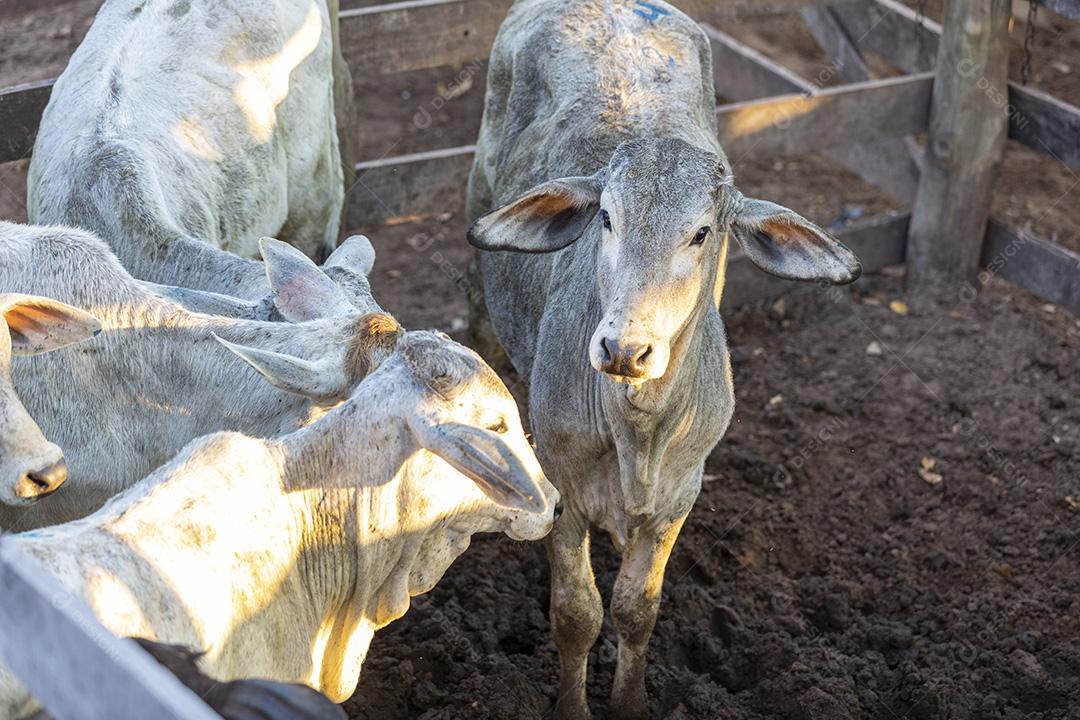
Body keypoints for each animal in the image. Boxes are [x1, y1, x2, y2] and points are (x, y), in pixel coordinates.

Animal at [465, 1, 862, 717]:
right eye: (606, 219)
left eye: (702, 233)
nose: (624, 348)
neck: (637, 431)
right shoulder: (563, 488)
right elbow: (577, 615)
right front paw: (572, 706)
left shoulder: (681, 494)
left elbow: (636, 609)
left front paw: (629, 701)